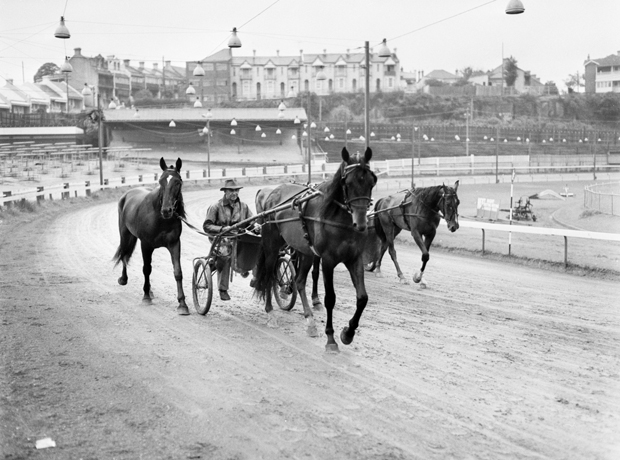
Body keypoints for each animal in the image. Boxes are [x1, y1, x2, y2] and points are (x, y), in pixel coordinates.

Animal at [111, 159, 189, 316]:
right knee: (124, 254)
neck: (160, 218)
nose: (167, 210)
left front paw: (182, 304)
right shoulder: (145, 245)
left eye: (178, 182)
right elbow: (146, 269)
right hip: (125, 234)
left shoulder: (174, 244)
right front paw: (146, 297)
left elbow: (177, 272)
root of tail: (127, 194)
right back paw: (124, 279)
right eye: (160, 181)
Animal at [253, 148, 378, 352]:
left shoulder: (354, 258)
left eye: (371, 181)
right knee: (271, 274)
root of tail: (273, 192)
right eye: (348, 183)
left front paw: (348, 333)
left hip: (306, 252)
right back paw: (271, 313)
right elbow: (330, 299)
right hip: (272, 244)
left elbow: (362, 298)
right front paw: (331, 339)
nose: (360, 224)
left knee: (299, 281)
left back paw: (310, 320)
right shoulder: (328, 260)